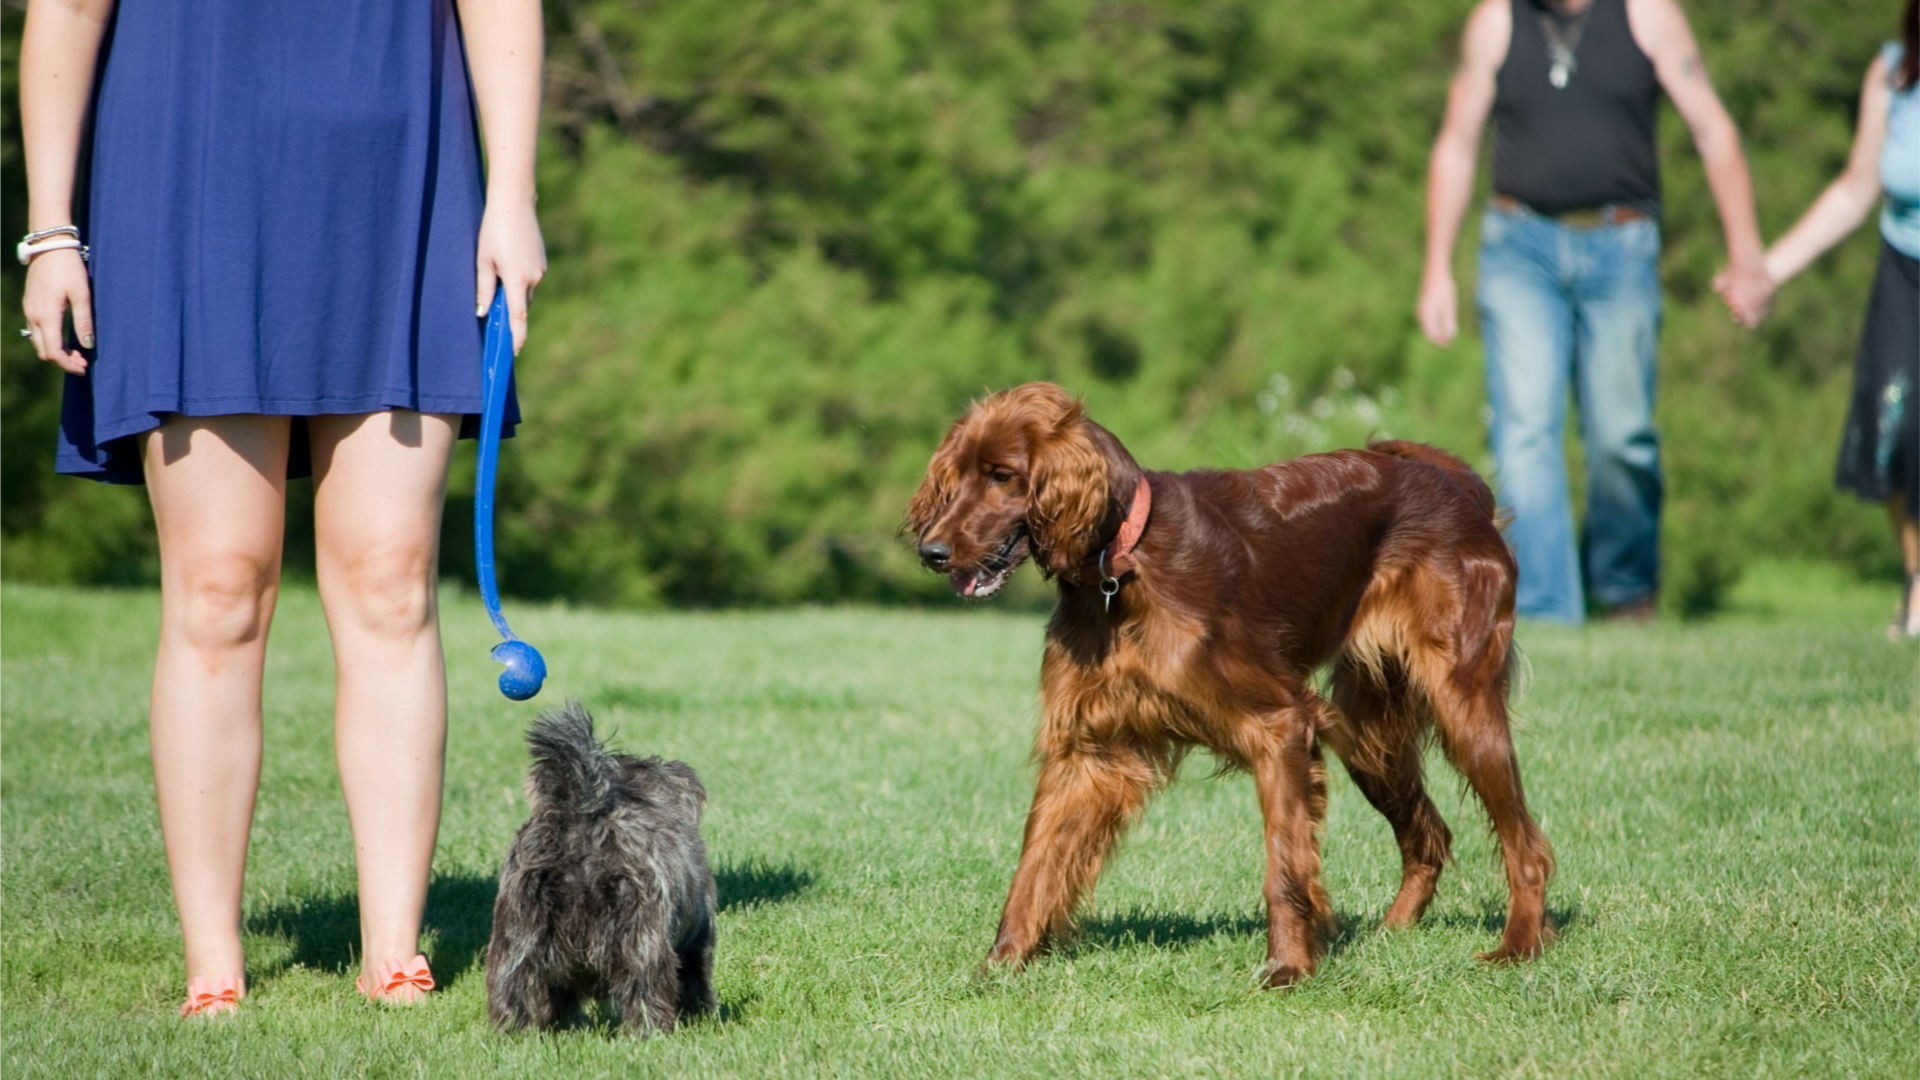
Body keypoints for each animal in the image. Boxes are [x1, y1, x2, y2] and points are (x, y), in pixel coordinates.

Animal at [483, 703, 718, 1030]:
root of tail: (579, 820)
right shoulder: (698, 935)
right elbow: (696, 979)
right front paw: (700, 1016)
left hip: (516, 937)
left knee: (512, 988)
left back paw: (514, 1030)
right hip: (642, 940)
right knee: (645, 989)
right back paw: (651, 1030)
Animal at [906, 378, 1551, 983]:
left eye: (1003, 476)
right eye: (957, 476)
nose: (930, 552)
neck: (1122, 568)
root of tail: (1458, 485)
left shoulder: (1282, 726)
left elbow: (1284, 867)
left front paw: (1288, 968)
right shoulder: (1086, 752)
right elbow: (1034, 864)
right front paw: (999, 964)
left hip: (1461, 704)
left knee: (1526, 845)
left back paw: (1518, 946)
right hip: (1371, 734)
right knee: (1429, 836)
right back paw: (1389, 935)